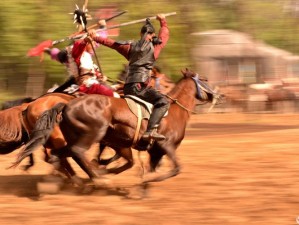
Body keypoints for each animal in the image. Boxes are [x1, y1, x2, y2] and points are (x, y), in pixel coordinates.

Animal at [13, 68, 220, 183]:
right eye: (205, 80)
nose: (218, 95)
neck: (174, 110)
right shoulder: (164, 145)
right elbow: (174, 168)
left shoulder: (145, 149)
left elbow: (135, 163)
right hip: (89, 134)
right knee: (75, 153)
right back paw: (95, 178)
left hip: (67, 139)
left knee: (60, 156)